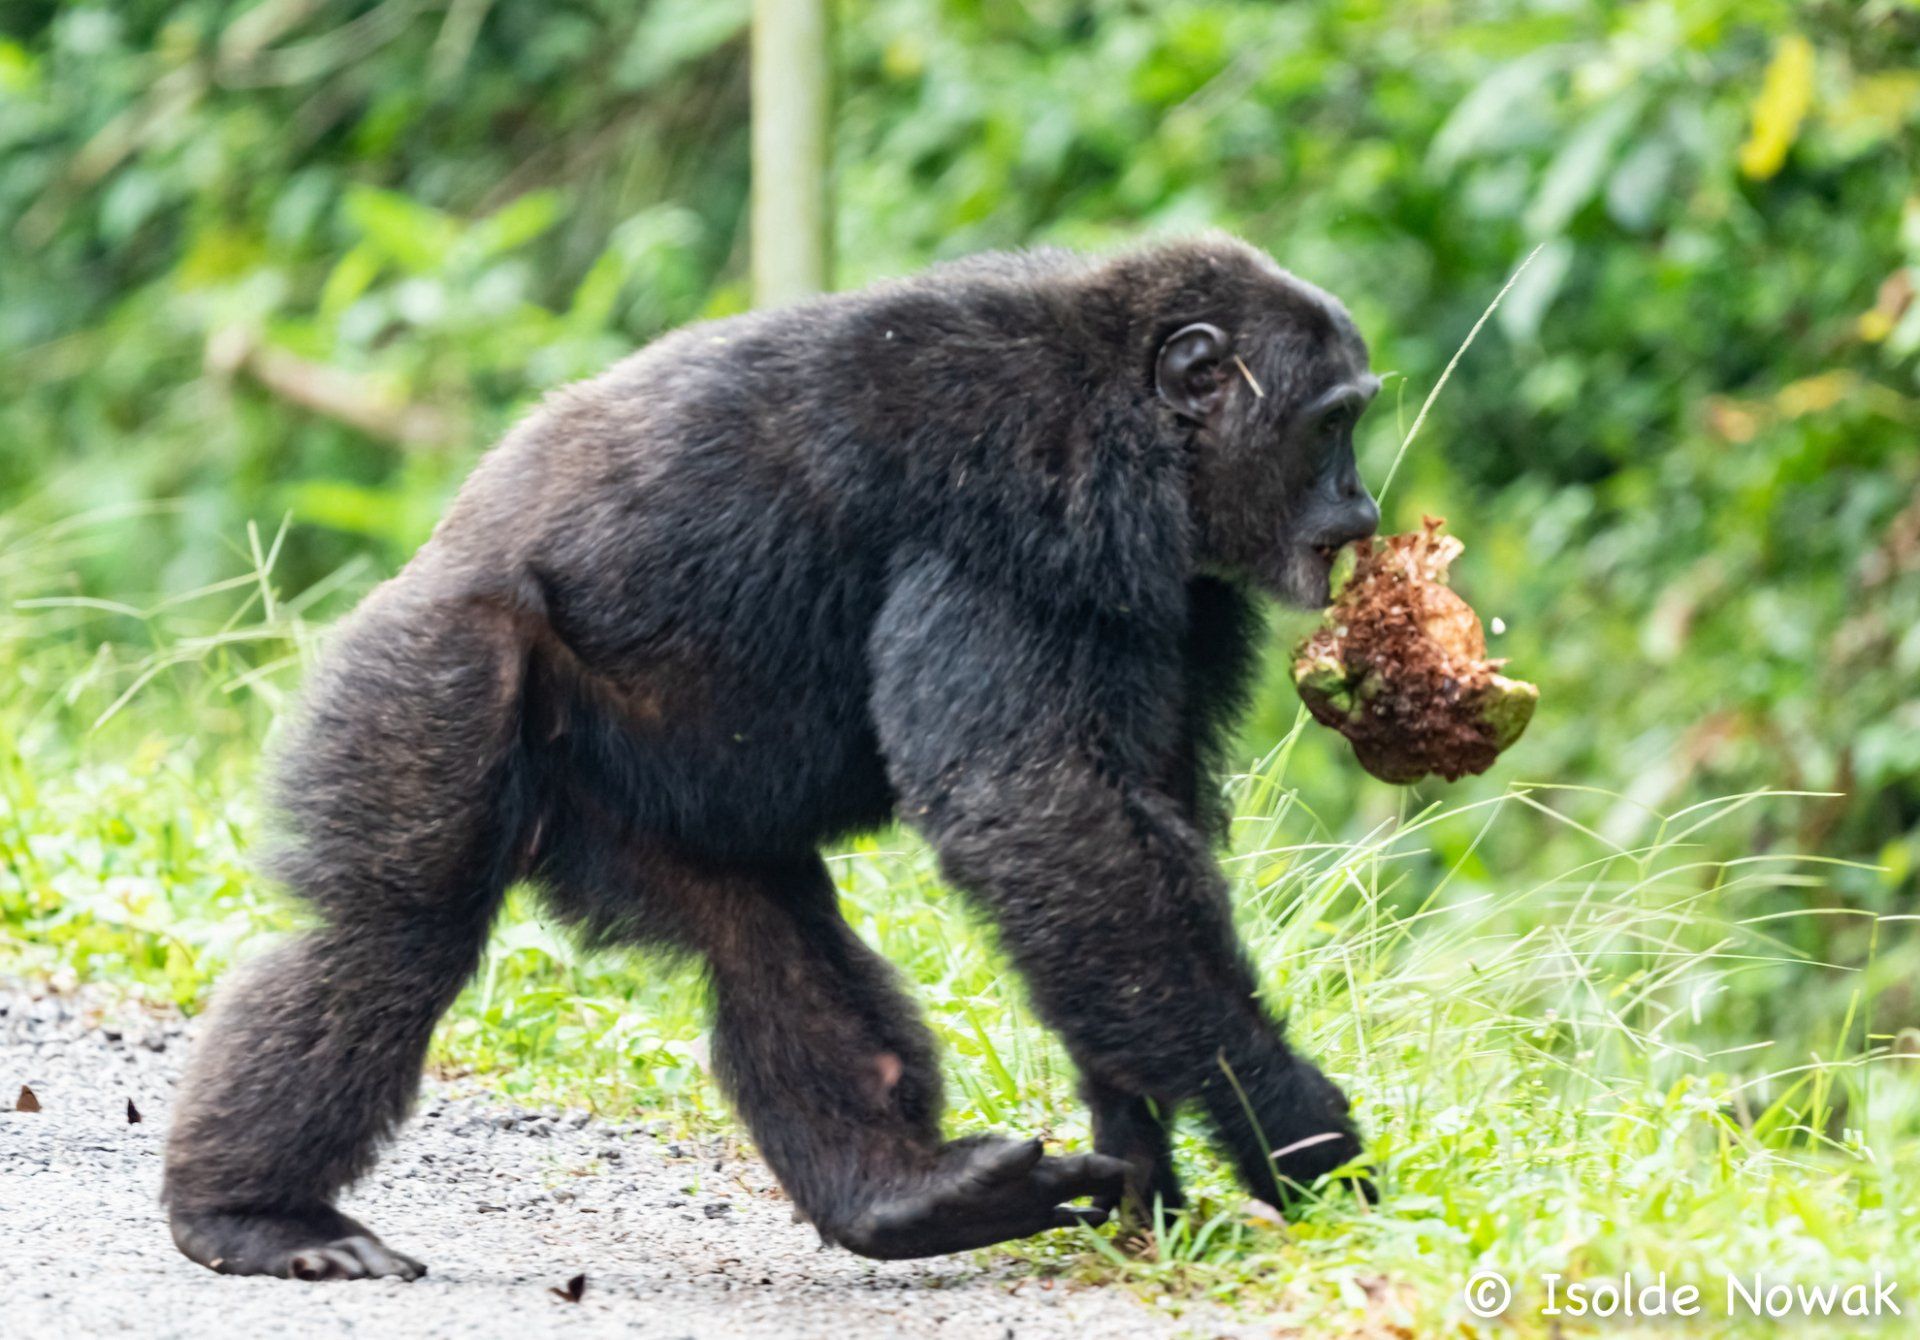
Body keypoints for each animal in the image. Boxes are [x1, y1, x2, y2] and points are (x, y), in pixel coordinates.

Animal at [162, 233, 1382, 1279]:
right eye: (1330, 425)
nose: (1362, 503)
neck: (1141, 422)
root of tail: (431, 554)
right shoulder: (1037, 516)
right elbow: (1038, 809)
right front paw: (1292, 1126)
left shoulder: (1190, 602)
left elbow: (1123, 848)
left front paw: (1147, 1162)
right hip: (437, 674)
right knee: (389, 932)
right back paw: (254, 1212)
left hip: (633, 802)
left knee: (763, 943)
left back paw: (901, 1194)